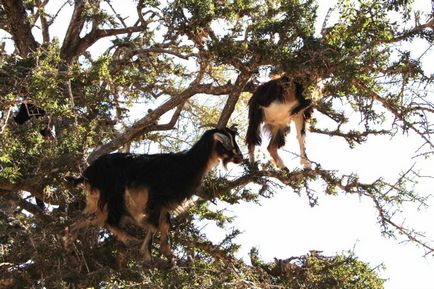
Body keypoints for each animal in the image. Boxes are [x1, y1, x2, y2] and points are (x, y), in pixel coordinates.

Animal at [66, 127, 246, 264]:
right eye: (227, 145)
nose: (241, 158)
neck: (186, 164)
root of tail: (87, 174)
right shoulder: (156, 198)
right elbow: (154, 225)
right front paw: (148, 253)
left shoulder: (164, 204)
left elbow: (164, 225)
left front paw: (167, 254)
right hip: (113, 195)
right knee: (109, 221)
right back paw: (130, 239)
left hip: (101, 200)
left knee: (91, 218)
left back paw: (68, 240)